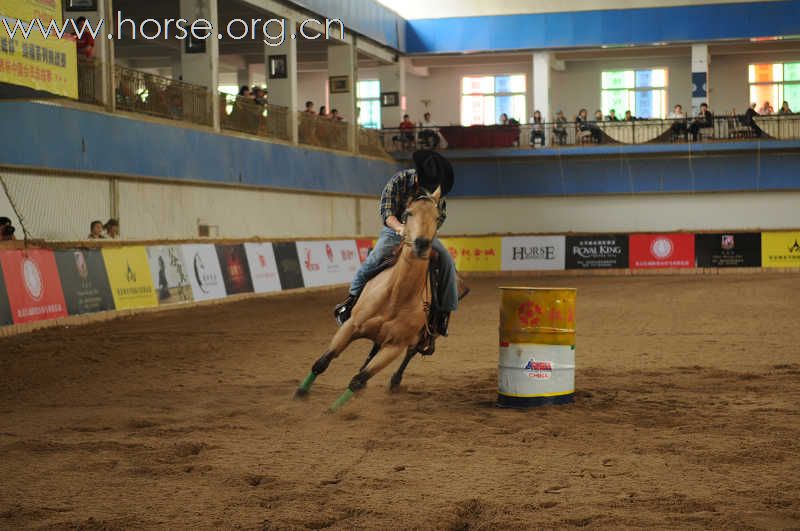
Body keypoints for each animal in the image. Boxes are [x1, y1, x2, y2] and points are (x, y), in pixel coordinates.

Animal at [296, 187, 450, 412]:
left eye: (438, 217)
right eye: (408, 213)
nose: (421, 244)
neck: (397, 296)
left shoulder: (394, 347)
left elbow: (358, 380)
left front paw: (332, 412)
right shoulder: (350, 326)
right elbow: (322, 362)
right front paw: (299, 395)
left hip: (426, 335)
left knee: (410, 352)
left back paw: (395, 381)